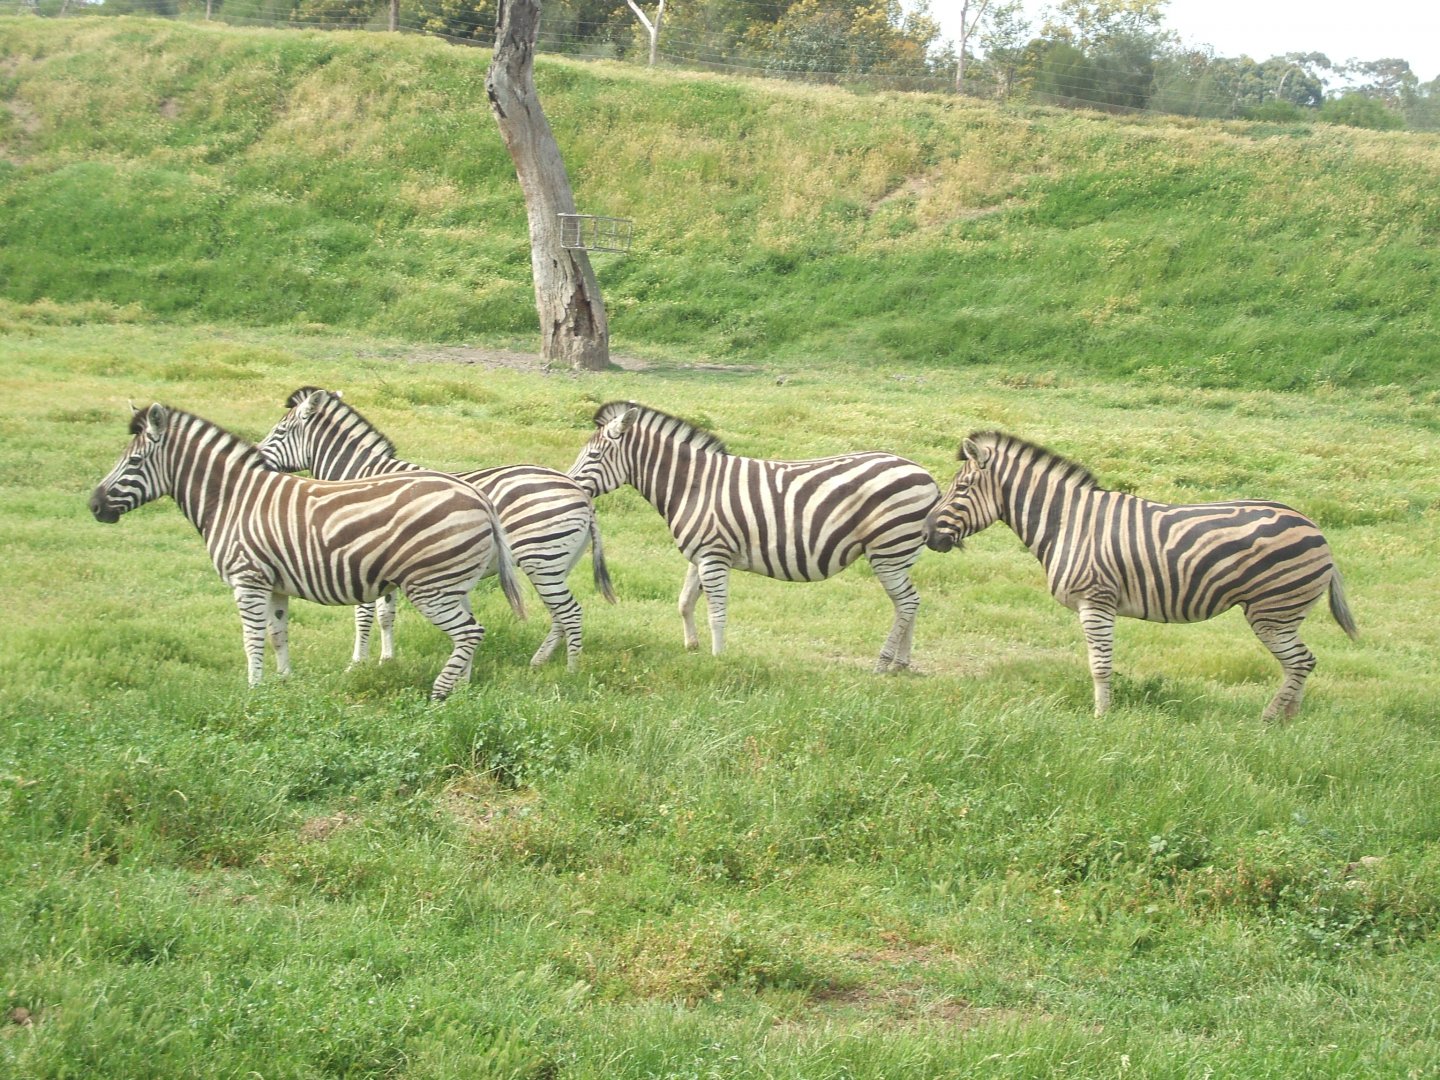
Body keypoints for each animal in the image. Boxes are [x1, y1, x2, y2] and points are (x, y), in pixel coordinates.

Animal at [89, 403, 528, 701]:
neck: (232, 499)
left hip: (431, 587)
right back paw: (461, 690)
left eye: (133, 461)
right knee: (469, 634)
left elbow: (251, 638)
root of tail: (477, 496)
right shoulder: (275, 584)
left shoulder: (247, 580)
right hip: (453, 583)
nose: (93, 506)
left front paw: (253, 690)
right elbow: (277, 634)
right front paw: (284, 682)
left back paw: (439, 693)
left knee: (470, 632)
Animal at [257, 387, 615, 672]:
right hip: (557, 562)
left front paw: (356, 664)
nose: (257, 462)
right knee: (560, 614)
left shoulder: (362, 555)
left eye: (279, 432)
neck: (363, 475)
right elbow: (386, 614)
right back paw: (540, 662)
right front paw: (386, 659)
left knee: (570, 613)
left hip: (541, 558)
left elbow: (363, 614)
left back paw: (570, 672)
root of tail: (580, 492)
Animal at [567, 401, 940, 671]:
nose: (569, 485)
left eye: (594, 455)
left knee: (906, 602)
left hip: (888, 551)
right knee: (909, 603)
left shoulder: (714, 556)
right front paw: (692, 647)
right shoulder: (700, 554)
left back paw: (884, 663)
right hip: (899, 555)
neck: (692, 487)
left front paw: (718, 660)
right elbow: (684, 602)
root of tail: (927, 476)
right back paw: (902, 663)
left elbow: (716, 612)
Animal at [922, 430, 1359, 720]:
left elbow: (1100, 665)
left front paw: (1101, 720)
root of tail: (1316, 528)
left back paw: (1269, 721)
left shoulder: (1095, 599)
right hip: (1283, 614)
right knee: (1300, 664)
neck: (1067, 522)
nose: (926, 535)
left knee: (1301, 662)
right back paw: (1288, 721)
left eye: (961, 488)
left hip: (1273, 612)